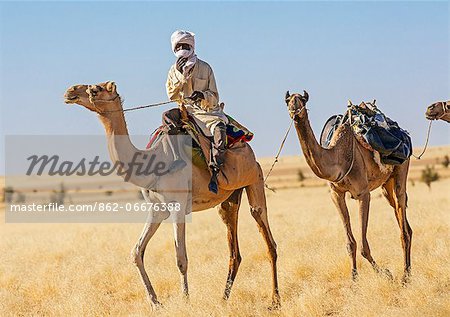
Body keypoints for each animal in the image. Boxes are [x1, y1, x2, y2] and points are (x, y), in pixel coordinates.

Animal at [63, 82, 280, 308]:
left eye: (95, 89)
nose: (70, 91)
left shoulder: (178, 207)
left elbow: (181, 258)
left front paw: (185, 299)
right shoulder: (157, 211)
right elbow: (136, 252)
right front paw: (155, 302)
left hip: (254, 177)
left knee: (266, 236)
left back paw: (275, 300)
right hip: (229, 198)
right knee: (234, 249)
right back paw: (223, 299)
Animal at [286, 90, 414, 280]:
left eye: (302, 100)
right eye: (287, 101)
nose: (295, 112)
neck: (339, 158)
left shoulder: (363, 193)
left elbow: (363, 246)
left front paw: (386, 273)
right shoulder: (336, 194)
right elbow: (350, 243)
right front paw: (354, 279)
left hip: (401, 168)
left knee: (403, 225)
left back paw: (405, 276)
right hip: (386, 184)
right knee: (404, 221)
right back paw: (408, 271)